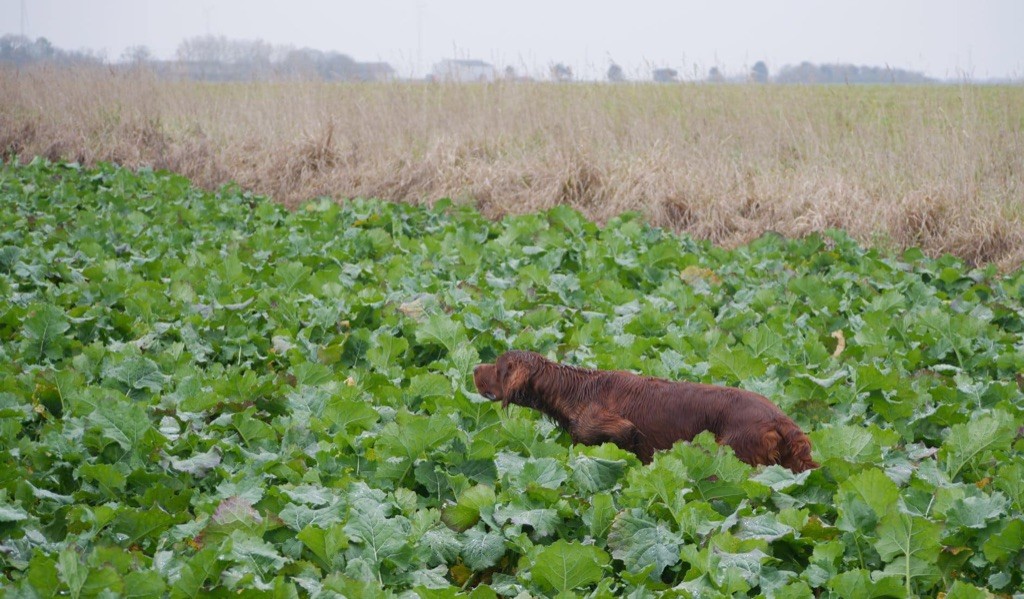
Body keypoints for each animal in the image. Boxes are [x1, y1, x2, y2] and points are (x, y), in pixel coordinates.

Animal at [475, 350, 819, 471]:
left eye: (499, 366)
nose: (475, 367)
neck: (577, 389)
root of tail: (782, 419)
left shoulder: (621, 430)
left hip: (733, 453)